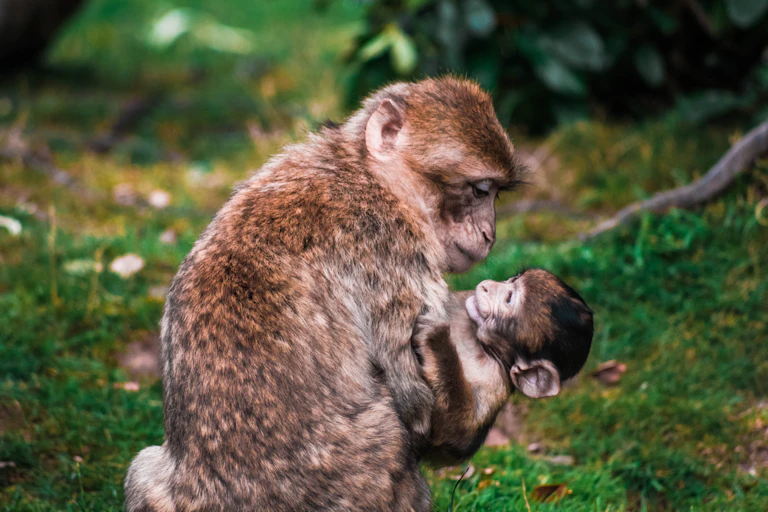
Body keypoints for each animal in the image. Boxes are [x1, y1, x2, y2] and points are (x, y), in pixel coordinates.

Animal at [125, 77, 524, 511]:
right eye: (480, 190)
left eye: (496, 194)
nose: (490, 234)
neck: (367, 175)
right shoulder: (394, 256)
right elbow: (424, 416)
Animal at [412, 268, 593, 464]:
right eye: (513, 279)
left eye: (509, 299)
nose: (487, 285)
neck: (480, 344)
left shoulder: (495, 379)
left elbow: (456, 441)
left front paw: (436, 339)